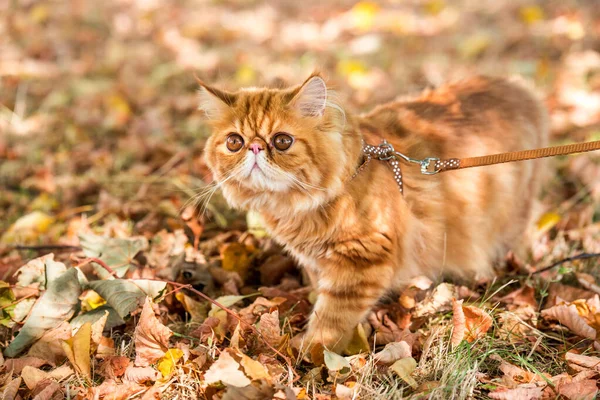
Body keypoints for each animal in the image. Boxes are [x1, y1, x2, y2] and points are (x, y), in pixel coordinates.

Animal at [200, 74, 548, 354]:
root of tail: (517, 88)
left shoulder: (363, 260)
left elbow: (330, 319)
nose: (255, 148)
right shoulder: (318, 261)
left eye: (282, 141)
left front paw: (310, 354)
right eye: (234, 142)